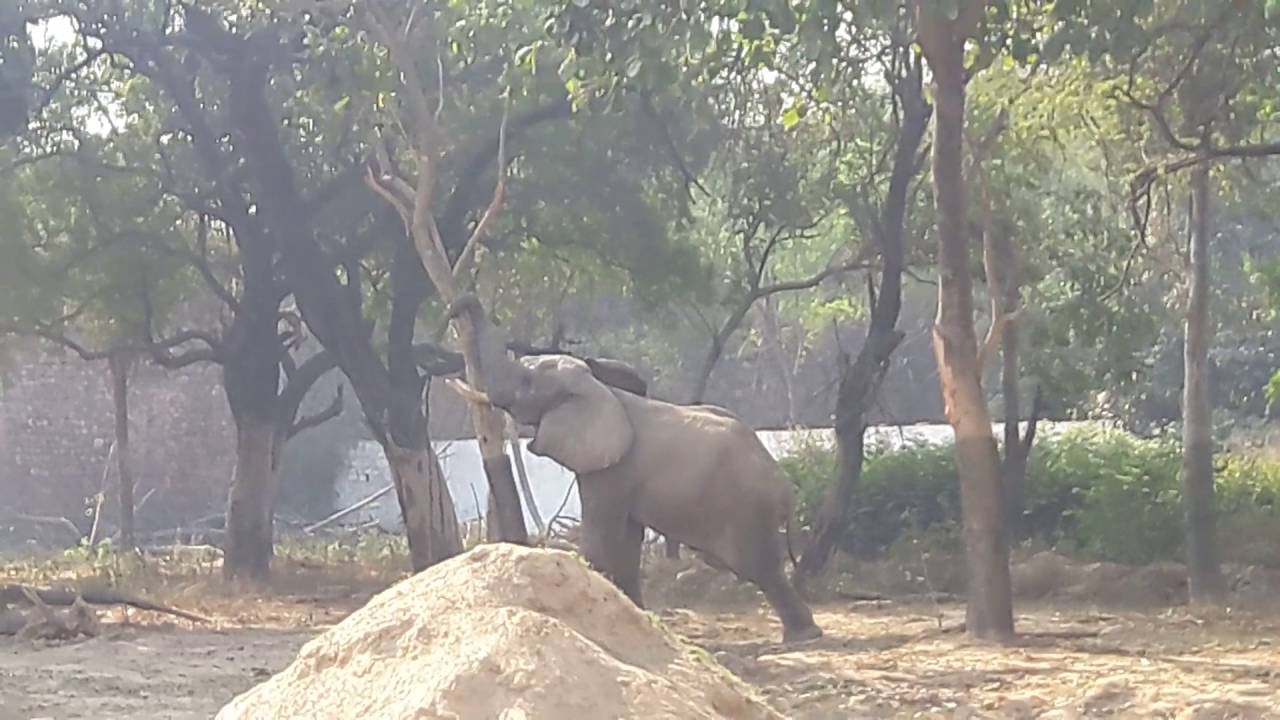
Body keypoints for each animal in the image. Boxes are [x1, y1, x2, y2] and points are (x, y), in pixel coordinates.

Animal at [481, 353, 823, 644]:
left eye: (526, 380)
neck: (599, 388)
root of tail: (784, 483)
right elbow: (629, 539)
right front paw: (636, 616)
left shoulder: (611, 468)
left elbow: (602, 532)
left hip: (747, 507)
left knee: (760, 568)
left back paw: (803, 638)